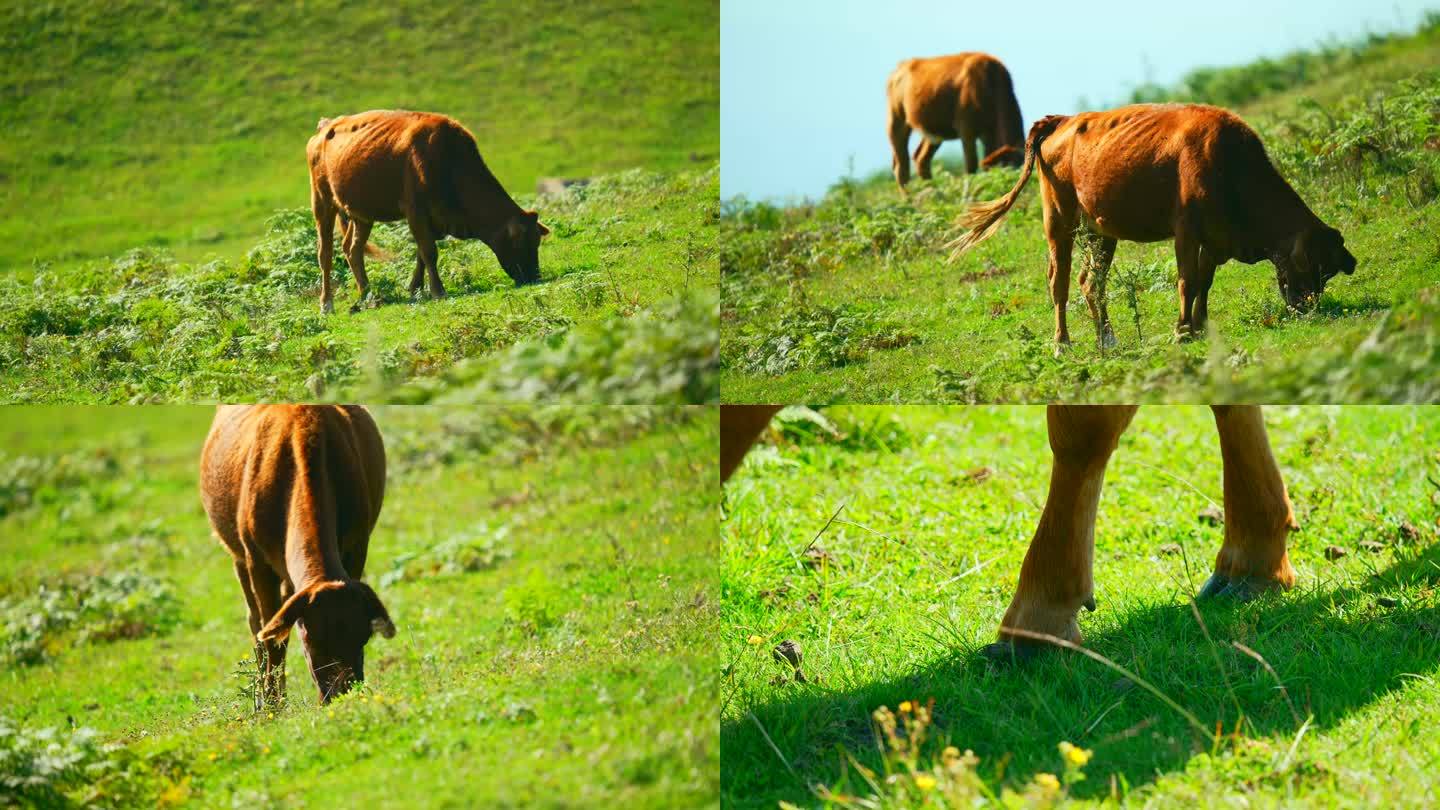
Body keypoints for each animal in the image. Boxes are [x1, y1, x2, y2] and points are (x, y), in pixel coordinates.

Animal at [201, 403, 394, 700]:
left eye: (364, 637)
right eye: (312, 640)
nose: (342, 693)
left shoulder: (358, 545)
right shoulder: (257, 561)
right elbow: (270, 636)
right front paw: (272, 703)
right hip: (237, 556)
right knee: (255, 623)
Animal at [305, 111, 550, 314]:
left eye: (537, 241)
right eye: (521, 243)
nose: (534, 278)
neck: (447, 160)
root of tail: (326, 127)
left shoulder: (430, 220)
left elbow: (421, 254)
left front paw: (415, 289)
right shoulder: (416, 211)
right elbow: (429, 252)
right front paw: (438, 291)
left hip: (362, 214)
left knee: (353, 249)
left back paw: (368, 295)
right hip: (322, 202)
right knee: (325, 253)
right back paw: (327, 304)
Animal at [881, 51, 1031, 188]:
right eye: (1007, 168)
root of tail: (902, 66)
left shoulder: (988, 134)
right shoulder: (966, 131)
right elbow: (971, 167)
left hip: (933, 131)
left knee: (921, 159)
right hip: (896, 120)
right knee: (901, 166)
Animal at [950, 103, 1353, 343]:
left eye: (1329, 271)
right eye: (1315, 265)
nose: (1306, 307)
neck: (1228, 162)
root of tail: (1062, 120)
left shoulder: (1213, 240)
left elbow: (1204, 281)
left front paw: (1201, 325)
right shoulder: (1186, 233)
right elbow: (1187, 282)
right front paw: (1182, 331)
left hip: (1101, 233)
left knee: (1090, 282)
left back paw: (1107, 340)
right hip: (1059, 223)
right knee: (1059, 281)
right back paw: (1062, 344)